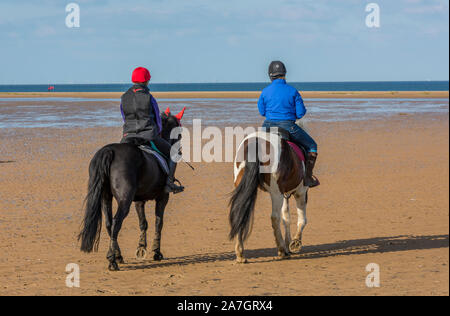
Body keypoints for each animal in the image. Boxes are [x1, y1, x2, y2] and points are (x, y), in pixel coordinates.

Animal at [78, 109, 183, 272]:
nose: (179, 151)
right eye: (179, 132)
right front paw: (156, 252)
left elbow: (143, 223)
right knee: (116, 222)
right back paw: (112, 260)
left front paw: (141, 248)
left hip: (105, 197)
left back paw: (118, 256)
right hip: (124, 199)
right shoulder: (163, 197)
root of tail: (109, 150)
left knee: (109, 223)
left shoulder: (139, 201)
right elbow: (159, 223)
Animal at [229, 120, 310, 262]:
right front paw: (295, 242)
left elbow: (286, 217)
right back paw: (281, 250)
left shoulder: (284, 193)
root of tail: (256, 143)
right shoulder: (300, 192)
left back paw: (240, 254)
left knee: (240, 212)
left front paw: (289, 243)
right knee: (274, 218)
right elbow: (301, 219)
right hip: (276, 193)